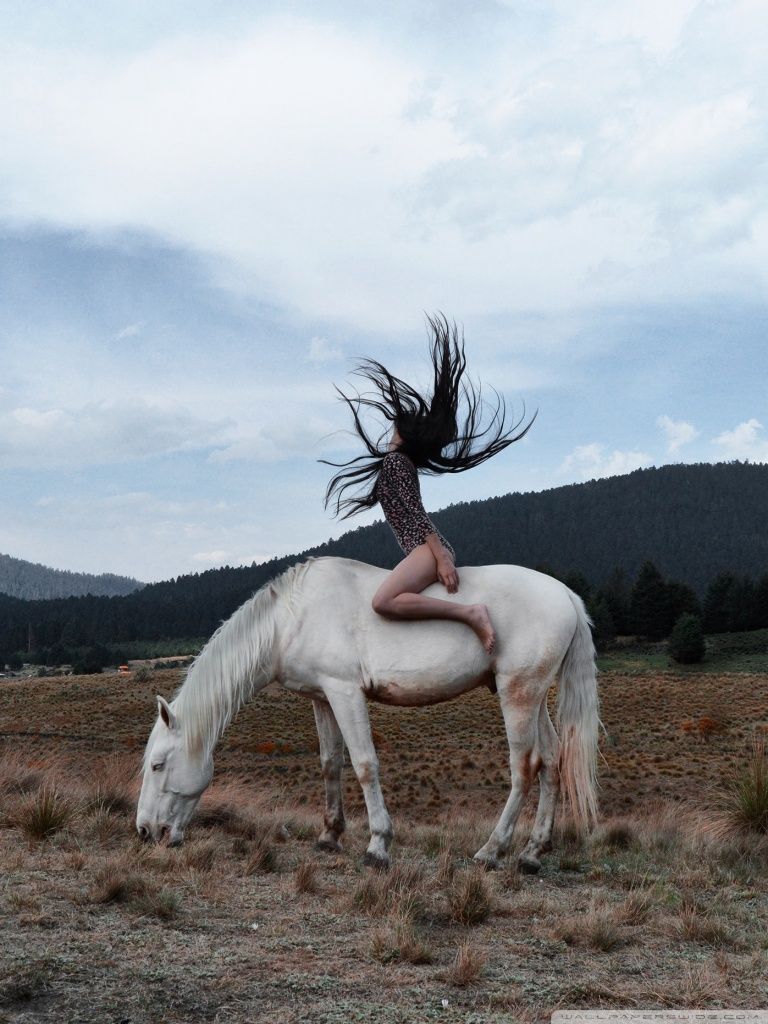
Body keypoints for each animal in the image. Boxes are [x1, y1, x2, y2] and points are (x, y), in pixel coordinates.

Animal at [138, 557, 606, 868]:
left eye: (158, 765)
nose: (144, 831)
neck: (292, 617)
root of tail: (566, 594)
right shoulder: (322, 697)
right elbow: (330, 763)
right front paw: (329, 835)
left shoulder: (346, 692)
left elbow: (365, 765)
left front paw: (378, 845)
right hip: (533, 696)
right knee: (551, 760)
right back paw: (533, 851)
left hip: (517, 694)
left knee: (524, 767)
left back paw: (492, 850)